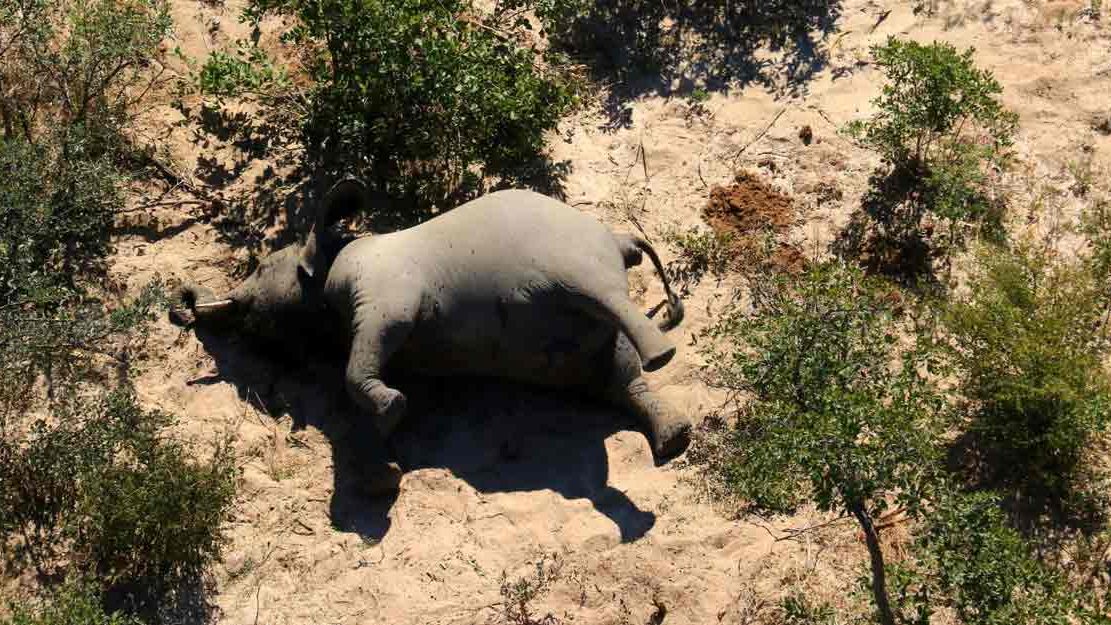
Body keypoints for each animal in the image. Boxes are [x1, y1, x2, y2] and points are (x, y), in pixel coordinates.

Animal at [172, 179, 692, 489]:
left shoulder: (384, 290)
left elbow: (365, 357)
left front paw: (391, 419)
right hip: (579, 345)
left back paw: (663, 357)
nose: (183, 308)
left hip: (574, 260)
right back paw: (675, 440)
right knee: (618, 378)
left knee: (606, 301)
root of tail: (619, 239)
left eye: (261, 267)